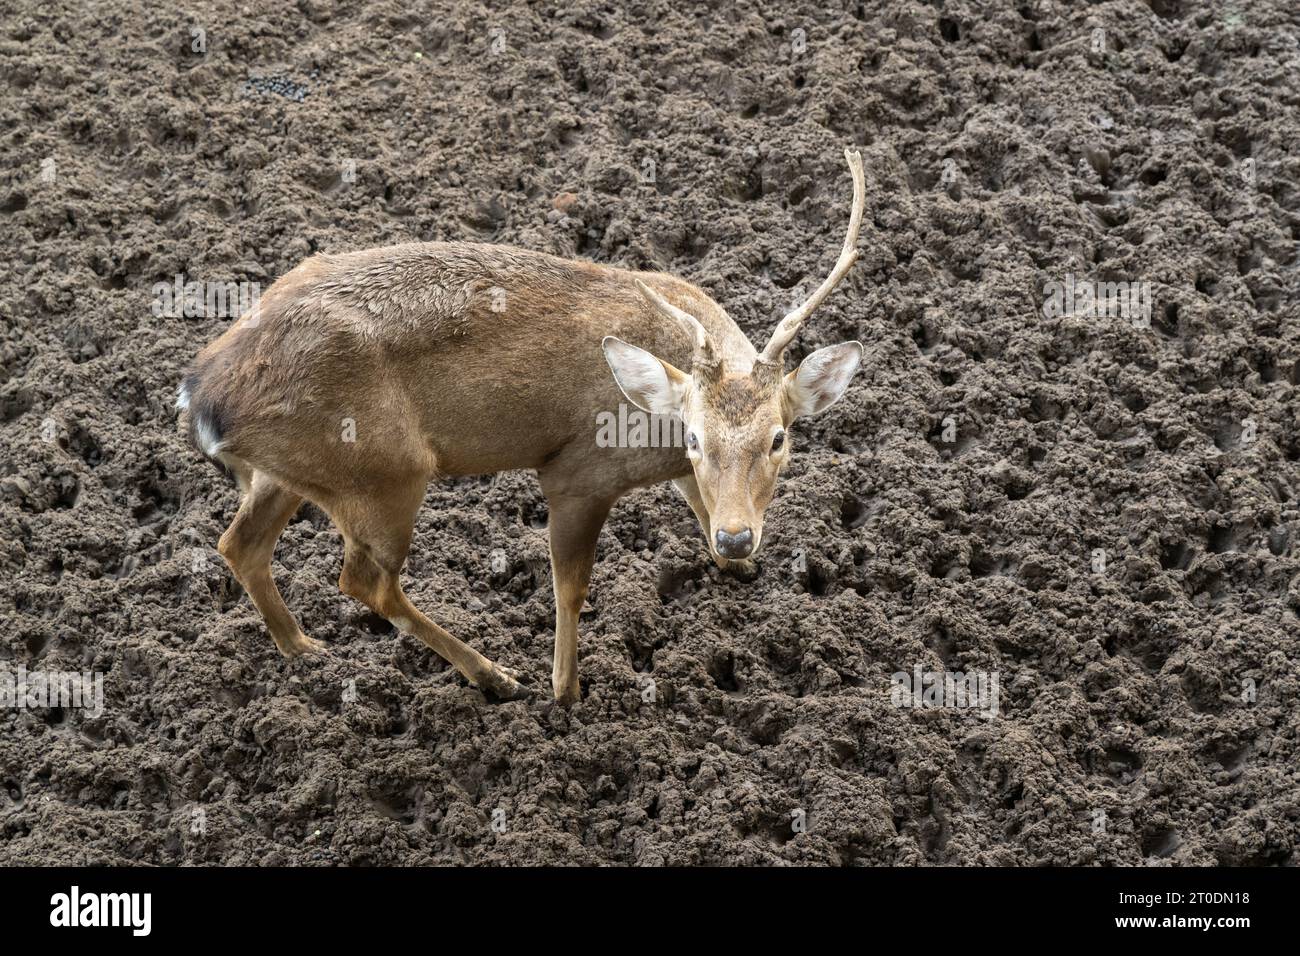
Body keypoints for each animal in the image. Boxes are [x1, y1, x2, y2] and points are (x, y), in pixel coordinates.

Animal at [178, 148, 866, 705]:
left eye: (779, 437)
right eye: (694, 436)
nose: (738, 540)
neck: (653, 421)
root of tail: (202, 396)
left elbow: (697, 501)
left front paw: (736, 567)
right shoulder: (578, 472)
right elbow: (570, 586)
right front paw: (566, 691)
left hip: (291, 471)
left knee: (239, 544)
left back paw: (302, 646)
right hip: (381, 472)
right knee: (363, 580)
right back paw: (495, 676)